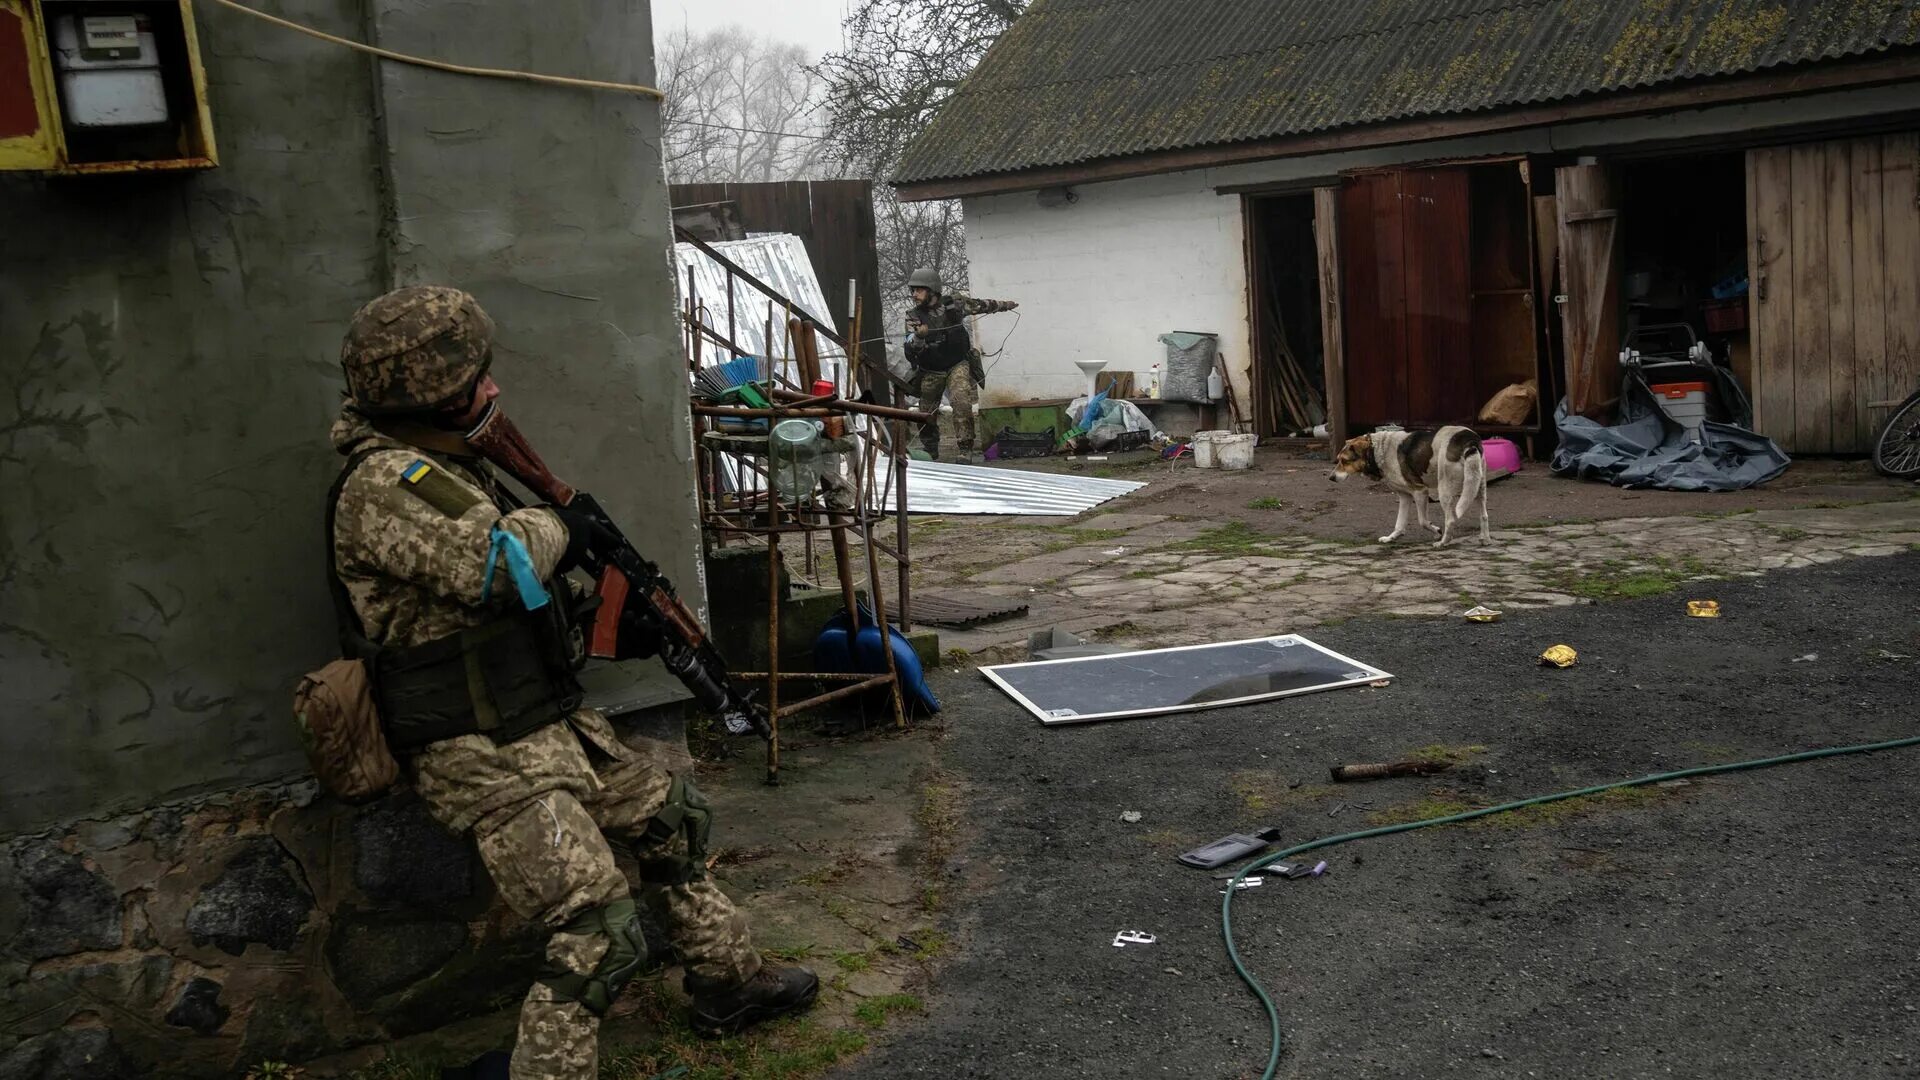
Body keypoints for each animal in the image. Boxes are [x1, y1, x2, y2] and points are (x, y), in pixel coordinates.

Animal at [1328, 422, 1489, 541]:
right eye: (1338, 460)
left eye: (1344, 461)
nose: (1331, 478)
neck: (1378, 450)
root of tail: (1468, 438)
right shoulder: (1404, 496)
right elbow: (1399, 523)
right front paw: (1391, 538)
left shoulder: (1420, 491)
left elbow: (1423, 521)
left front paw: (1437, 531)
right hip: (1477, 486)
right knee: (1484, 515)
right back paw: (1484, 539)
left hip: (1445, 491)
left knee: (1450, 519)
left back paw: (1443, 543)